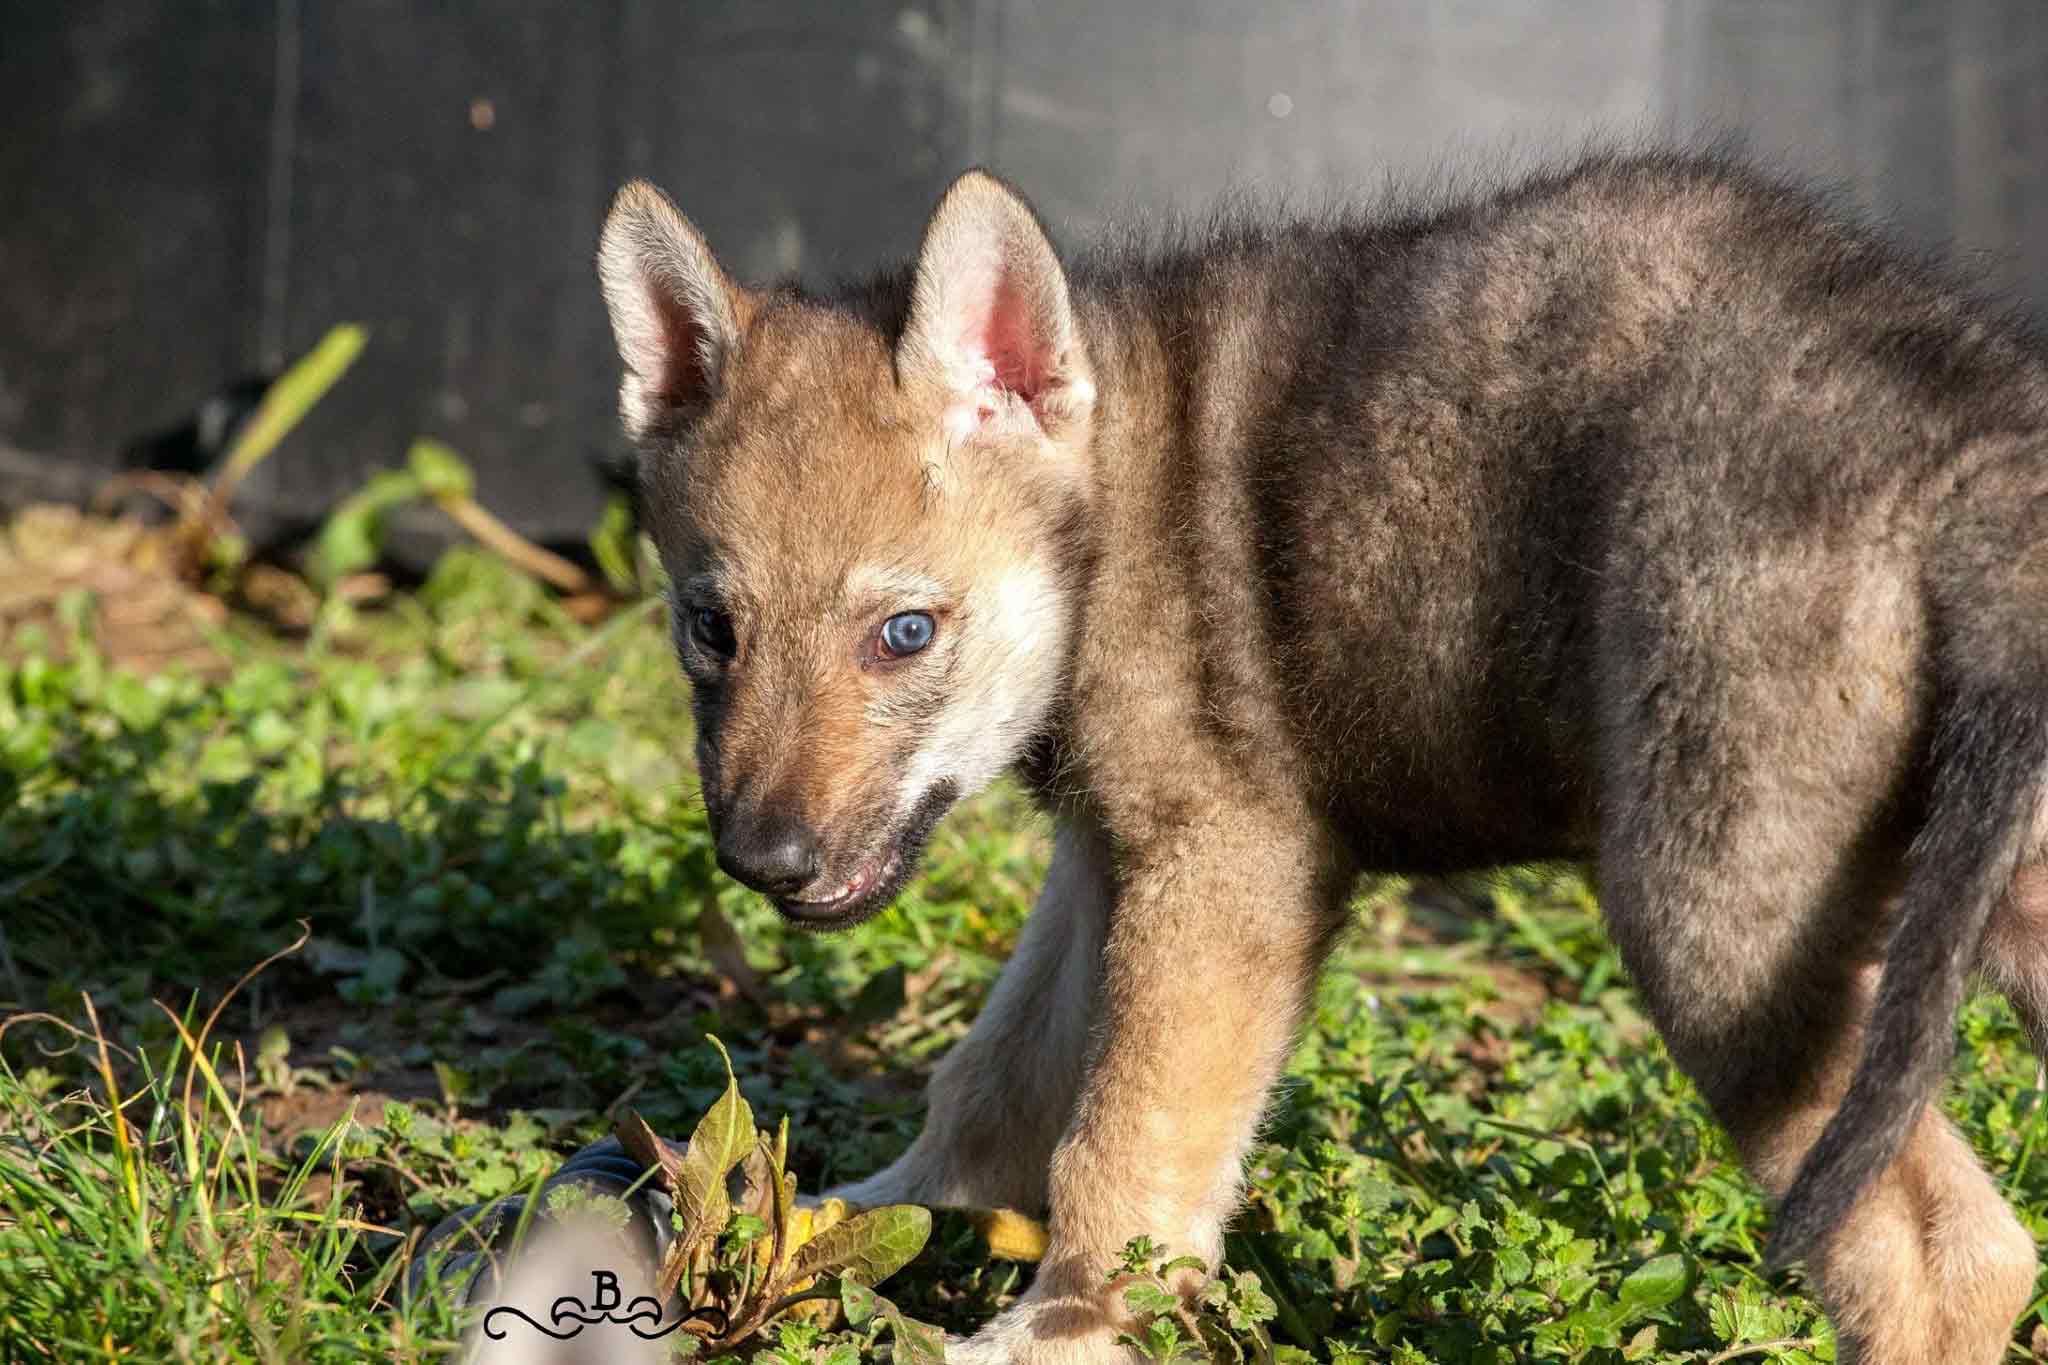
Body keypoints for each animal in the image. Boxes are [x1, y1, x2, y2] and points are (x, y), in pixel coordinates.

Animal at [594, 147, 2048, 1363]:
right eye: (711, 628)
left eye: (904, 633)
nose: (761, 861)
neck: (1107, 508)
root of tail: (1970, 462)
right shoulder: (1110, 859)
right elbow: (997, 1080)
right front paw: (847, 1228)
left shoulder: (1228, 869)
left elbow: (1120, 1154)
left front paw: (1060, 1330)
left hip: (1719, 939)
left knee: (1948, 1262)